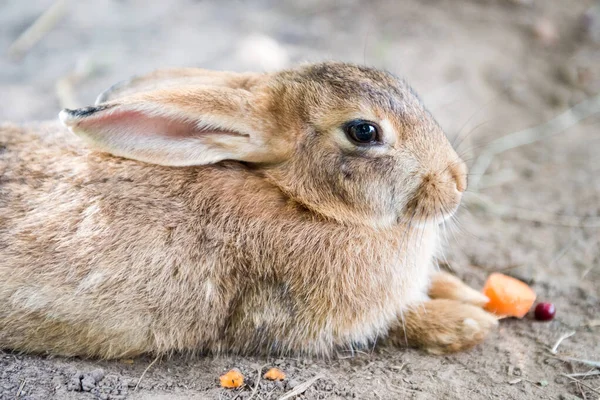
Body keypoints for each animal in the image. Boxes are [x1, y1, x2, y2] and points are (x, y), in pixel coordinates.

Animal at [0, 62, 496, 360]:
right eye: (363, 131)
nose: (457, 183)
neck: (305, 202)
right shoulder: (289, 319)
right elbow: (398, 323)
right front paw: (471, 322)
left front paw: (471, 295)